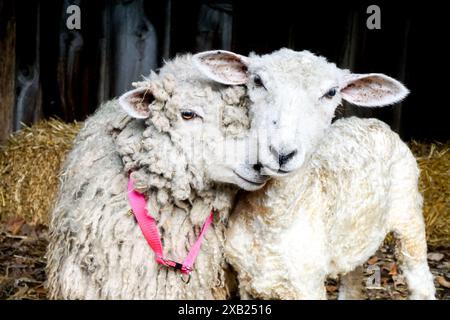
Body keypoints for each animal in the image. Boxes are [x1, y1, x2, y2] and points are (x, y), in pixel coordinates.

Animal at [223, 49, 434, 300]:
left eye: (331, 92)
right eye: (257, 81)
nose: (282, 153)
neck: (272, 221)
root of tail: (375, 122)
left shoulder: (308, 285)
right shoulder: (247, 280)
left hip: (408, 212)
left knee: (419, 275)